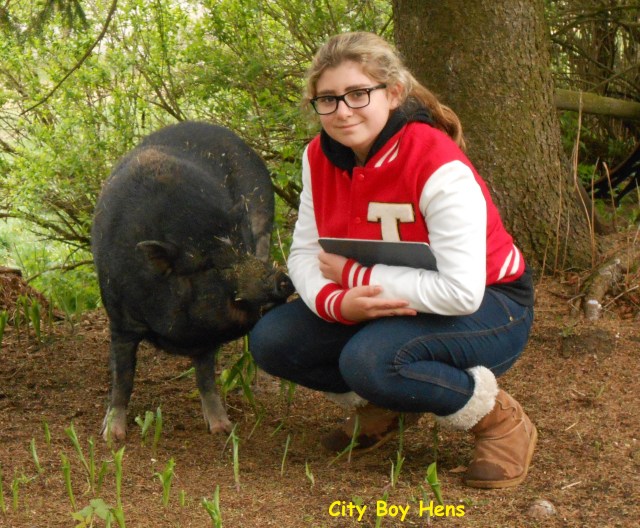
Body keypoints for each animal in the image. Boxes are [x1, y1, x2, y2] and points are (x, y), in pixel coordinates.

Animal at [91, 121, 294, 441]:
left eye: (243, 250)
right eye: (210, 266)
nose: (282, 280)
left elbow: (206, 376)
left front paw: (222, 429)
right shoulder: (120, 319)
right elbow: (123, 376)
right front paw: (112, 436)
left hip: (263, 219)